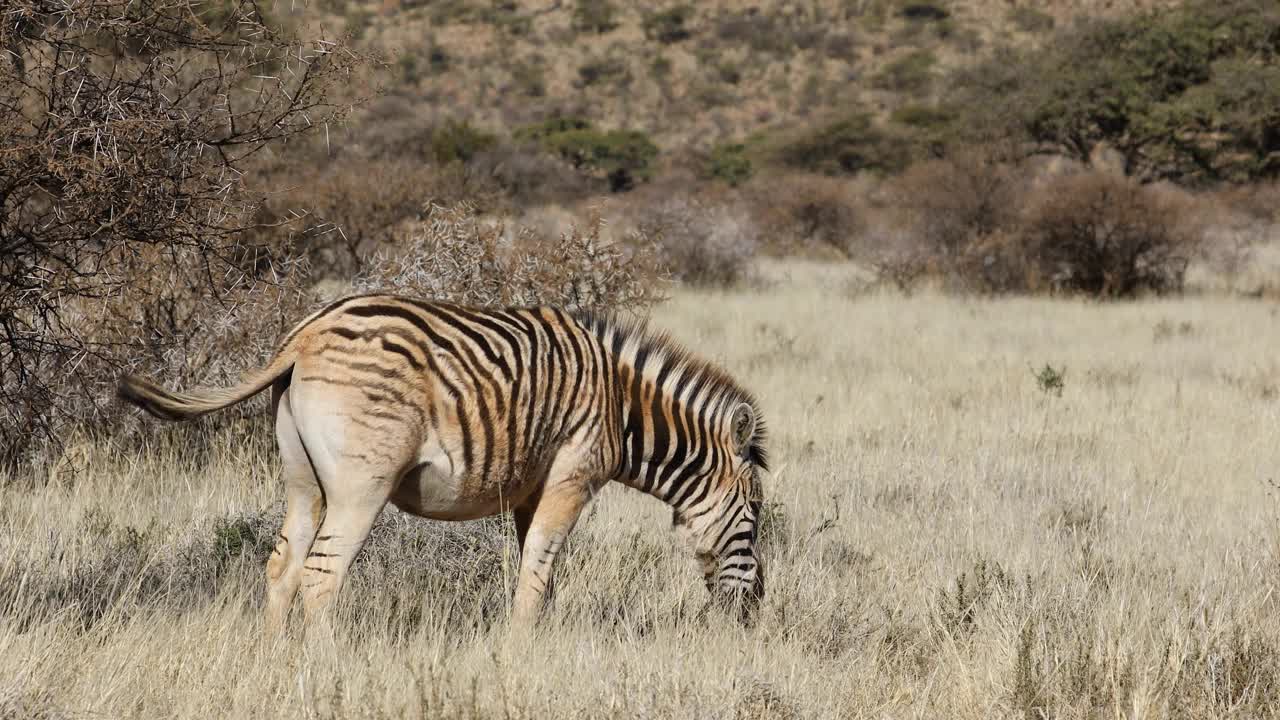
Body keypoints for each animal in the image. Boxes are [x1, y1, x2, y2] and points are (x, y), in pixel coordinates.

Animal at [117, 292, 768, 622]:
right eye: (757, 518)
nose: (755, 610)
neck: (620, 408)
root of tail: (301, 336)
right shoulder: (572, 478)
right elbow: (538, 573)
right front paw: (521, 656)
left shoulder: (531, 490)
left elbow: (539, 576)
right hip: (361, 484)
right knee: (322, 577)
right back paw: (325, 673)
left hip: (303, 479)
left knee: (282, 569)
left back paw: (278, 663)